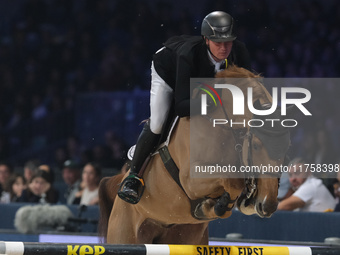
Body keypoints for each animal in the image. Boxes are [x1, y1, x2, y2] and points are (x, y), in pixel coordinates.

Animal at [99, 64, 292, 244]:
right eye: (257, 146)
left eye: (287, 150)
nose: (268, 205)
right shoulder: (190, 179)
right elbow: (231, 180)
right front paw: (214, 206)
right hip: (126, 232)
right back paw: (130, 187)